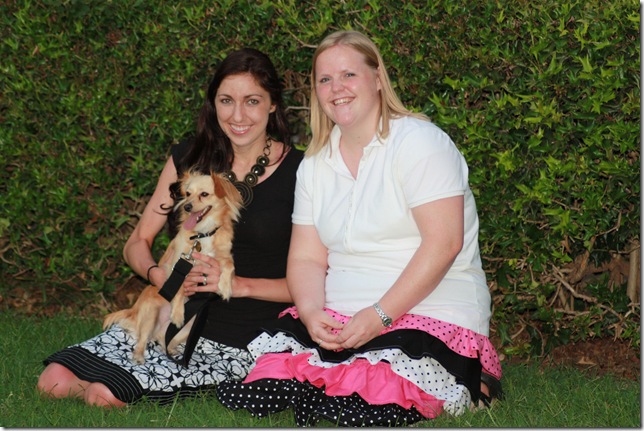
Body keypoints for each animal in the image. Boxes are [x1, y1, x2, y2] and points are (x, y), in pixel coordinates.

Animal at [103, 170, 242, 364]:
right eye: (188, 194)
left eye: (204, 194)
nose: (187, 207)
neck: (202, 234)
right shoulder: (178, 264)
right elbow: (180, 287)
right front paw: (176, 313)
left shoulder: (223, 256)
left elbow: (229, 266)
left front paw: (225, 287)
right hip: (150, 314)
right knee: (143, 338)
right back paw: (139, 355)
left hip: (189, 325)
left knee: (163, 340)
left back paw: (171, 349)